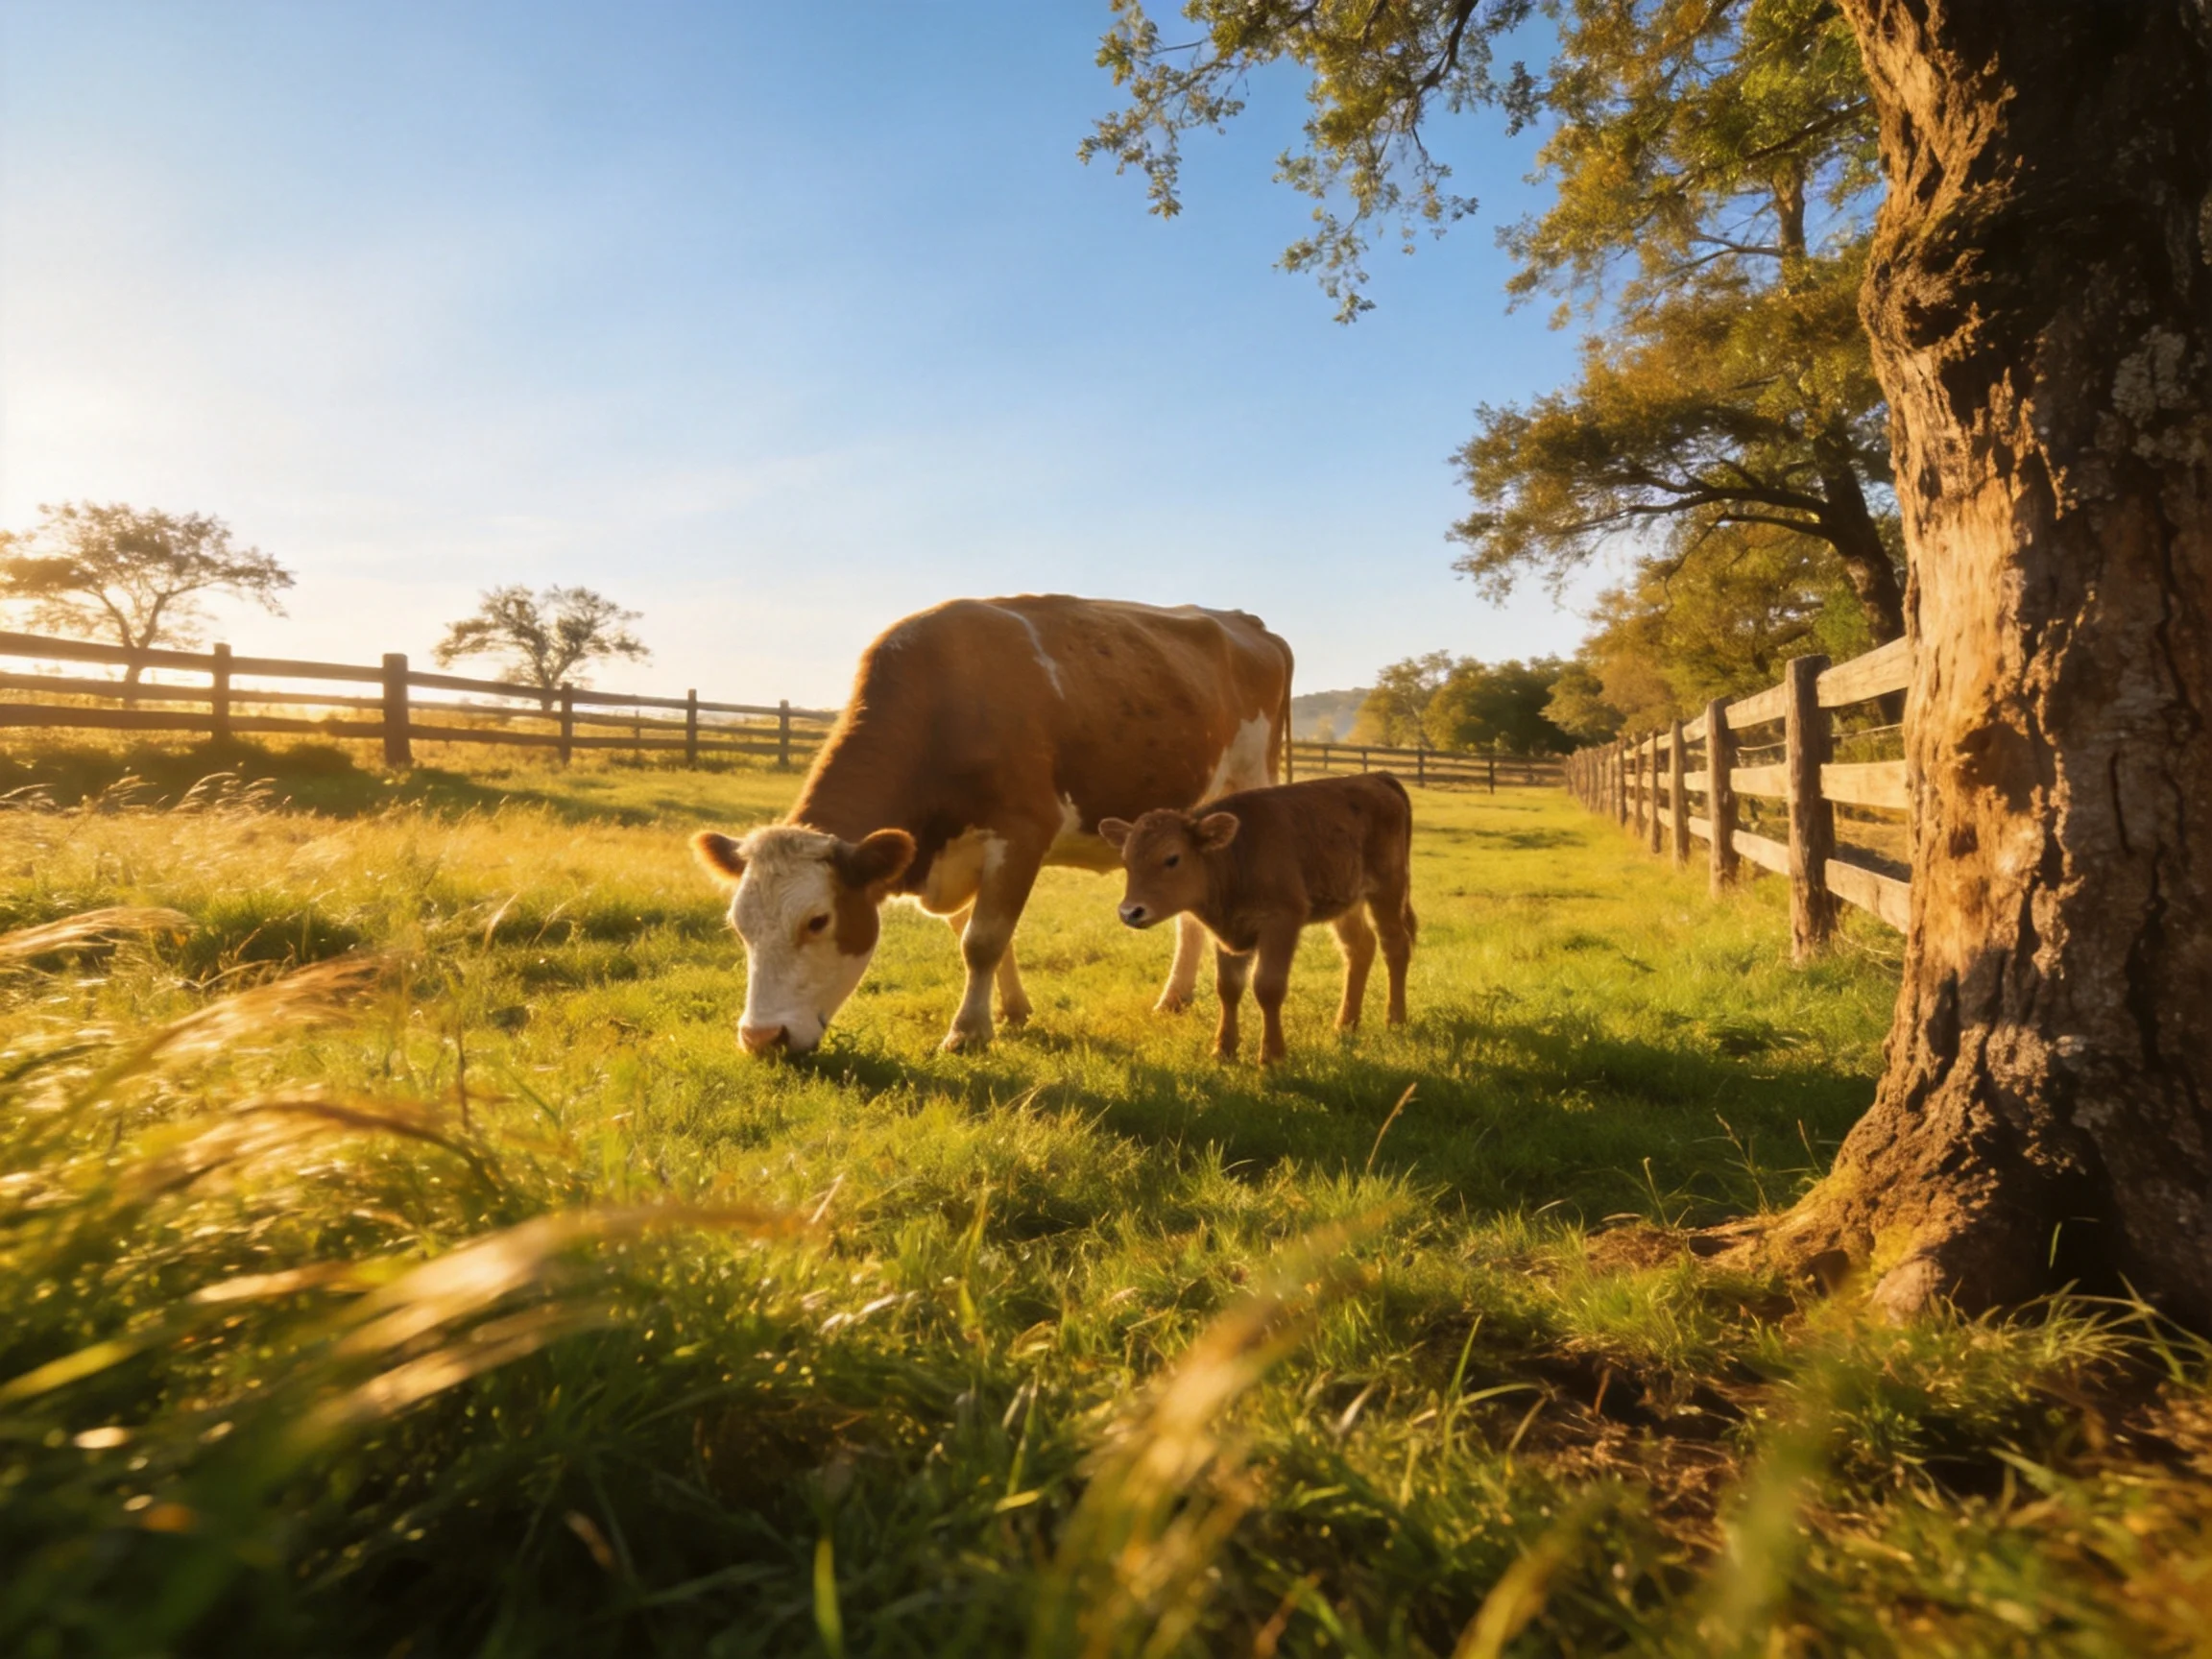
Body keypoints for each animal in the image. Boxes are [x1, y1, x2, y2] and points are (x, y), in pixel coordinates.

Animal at [691, 596, 1293, 1056]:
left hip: (1246, 782)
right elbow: (980, 936)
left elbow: (982, 940)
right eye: (739, 927)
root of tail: (1244, 621)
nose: (761, 1037)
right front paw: (1012, 1011)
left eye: (818, 921)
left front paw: (967, 1033)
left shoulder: (1022, 832)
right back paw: (1174, 998)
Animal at [1099, 772, 1415, 1065]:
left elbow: (1267, 987)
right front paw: (1223, 1049)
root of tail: (1376, 777)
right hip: (1346, 903)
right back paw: (1346, 1023)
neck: (1237, 855)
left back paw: (1395, 1020)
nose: (1130, 912)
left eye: (1172, 858)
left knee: (1395, 945)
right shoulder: (1229, 932)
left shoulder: (1281, 923)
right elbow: (1228, 988)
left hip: (1387, 890)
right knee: (1359, 948)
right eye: (1126, 861)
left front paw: (1272, 1056)